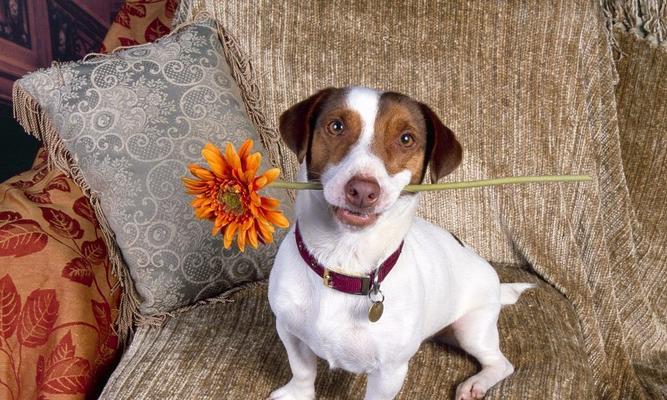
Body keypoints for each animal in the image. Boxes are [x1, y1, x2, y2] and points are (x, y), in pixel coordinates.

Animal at [268, 86, 536, 398]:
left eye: (406, 139)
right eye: (336, 126)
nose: (362, 190)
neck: (344, 264)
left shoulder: (389, 372)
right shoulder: (288, 330)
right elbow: (302, 369)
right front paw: (298, 392)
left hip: (473, 329)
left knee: (501, 363)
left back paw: (477, 384)